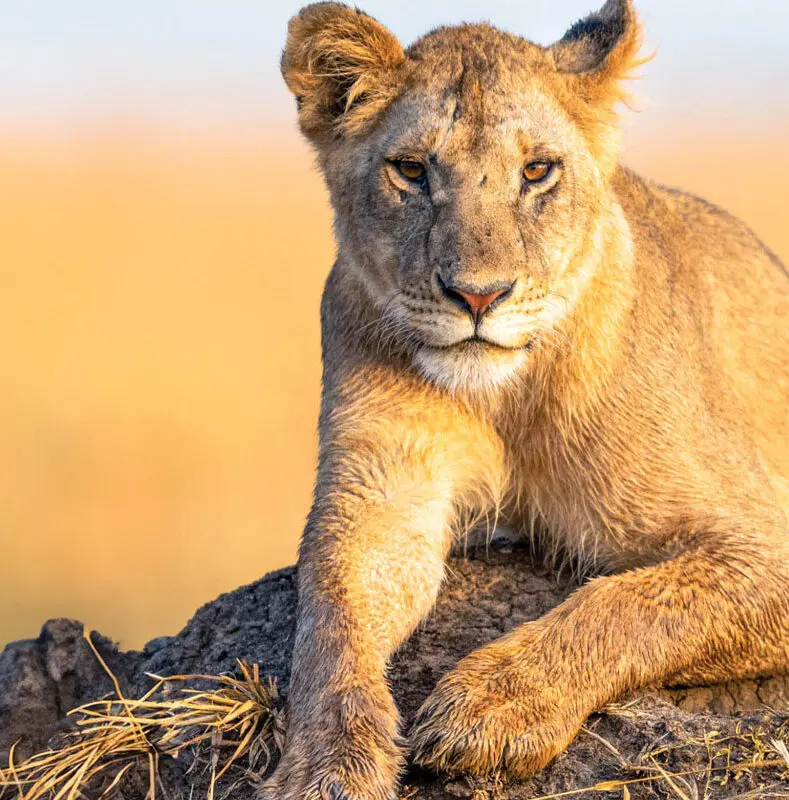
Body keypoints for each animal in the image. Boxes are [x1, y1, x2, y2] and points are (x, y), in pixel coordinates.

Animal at [262, 1, 789, 797]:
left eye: (536, 171)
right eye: (411, 170)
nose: (478, 296)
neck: (503, 399)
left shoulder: (763, 533)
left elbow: (624, 604)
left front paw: (493, 705)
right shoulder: (379, 494)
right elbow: (330, 618)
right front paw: (328, 763)